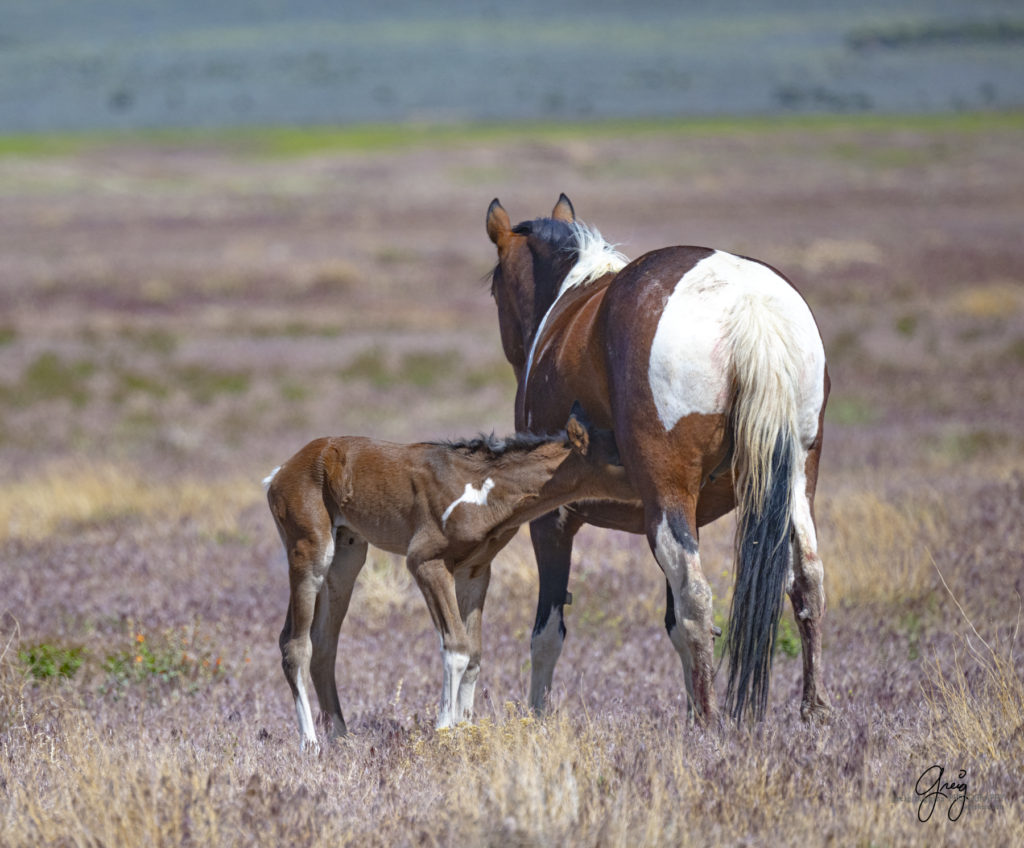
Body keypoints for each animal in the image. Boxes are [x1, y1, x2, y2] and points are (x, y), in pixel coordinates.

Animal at [266, 407, 630, 753]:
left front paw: (466, 731)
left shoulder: (475, 571)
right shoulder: (426, 562)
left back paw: (341, 739)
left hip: (347, 557)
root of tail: (278, 474)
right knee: (295, 644)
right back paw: (310, 744)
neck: (485, 488)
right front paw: (444, 731)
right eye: (618, 458)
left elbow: (475, 654)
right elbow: (456, 646)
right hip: (311, 552)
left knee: (324, 643)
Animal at [487, 195, 831, 725]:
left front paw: (538, 719)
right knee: (806, 581)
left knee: (696, 596)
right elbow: (674, 629)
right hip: (792, 481)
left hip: (666, 497)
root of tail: (748, 304)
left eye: (494, 287)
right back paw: (811, 712)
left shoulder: (551, 519)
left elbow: (547, 632)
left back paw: (710, 722)